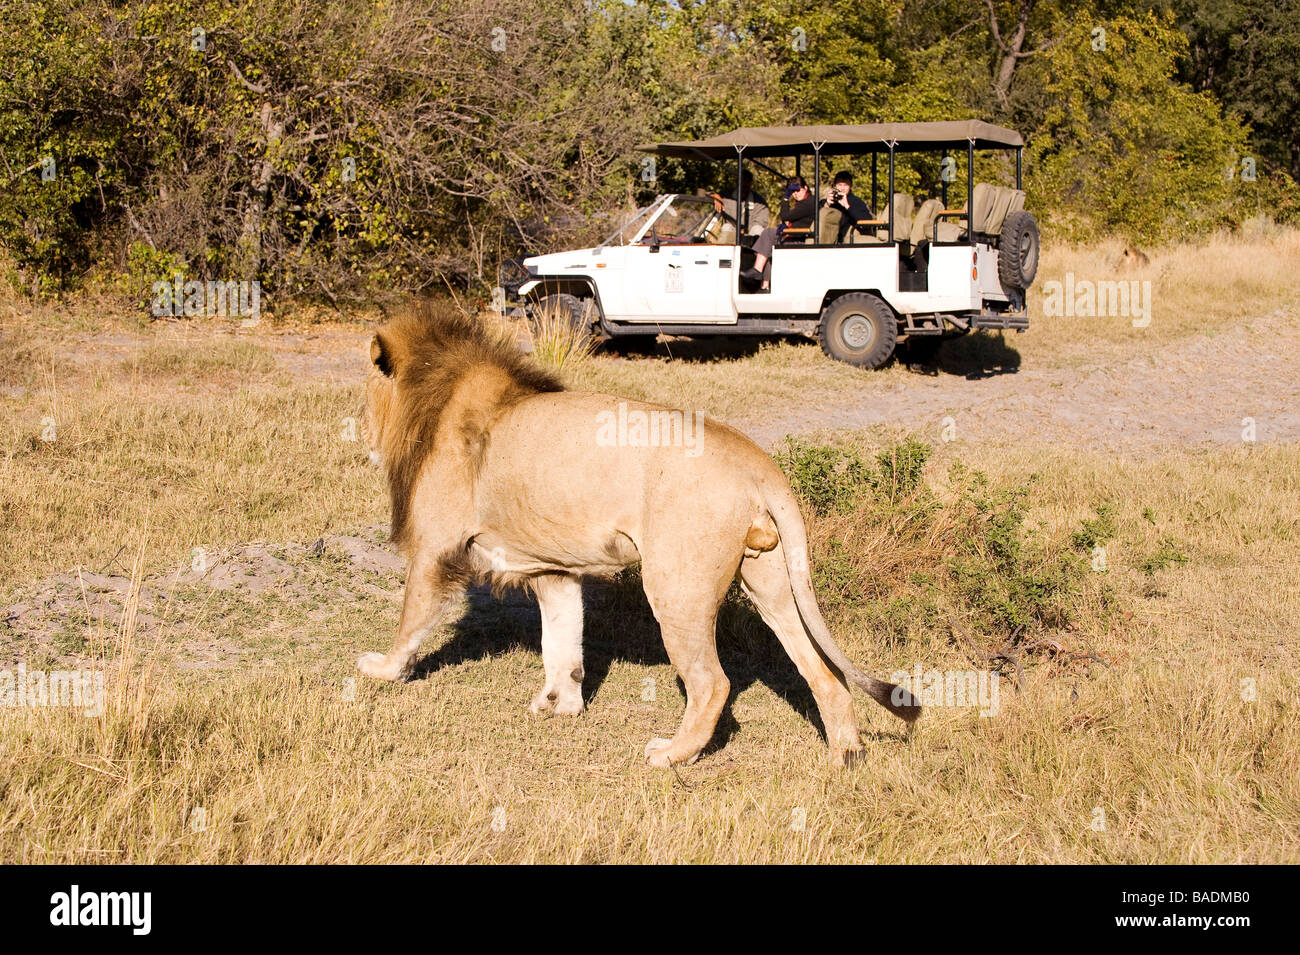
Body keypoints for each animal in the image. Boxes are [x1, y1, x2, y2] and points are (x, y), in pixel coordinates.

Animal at [356, 302, 920, 764]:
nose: (360, 431)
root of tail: (759, 463)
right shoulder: (554, 571)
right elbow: (563, 643)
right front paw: (561, 704)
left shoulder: (434, 549)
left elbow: (411, 622)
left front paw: (381, 670)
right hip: (773, 582)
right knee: (824, 672)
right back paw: (846, 753)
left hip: (676, 586)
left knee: (712, 683)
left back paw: (671, 754)